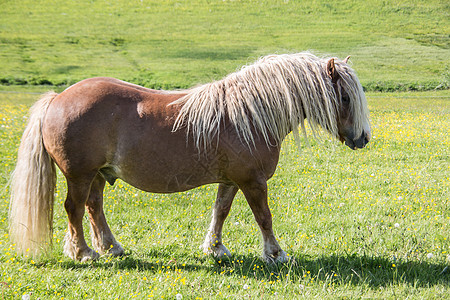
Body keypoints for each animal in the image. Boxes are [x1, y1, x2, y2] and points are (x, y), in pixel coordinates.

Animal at [8, 53, 370, 262]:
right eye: (345, 97)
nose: (363, 138)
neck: (248, 114)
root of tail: (59, 98)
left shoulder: (232, 180)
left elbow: (220, 211)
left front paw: (215, 248)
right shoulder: (253, 182)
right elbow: (264, 218)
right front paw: (276, 253)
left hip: (98, 174)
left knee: (93, 208)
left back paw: (111, 248)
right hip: (80, 174)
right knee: (74, 209)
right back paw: (84, 253)